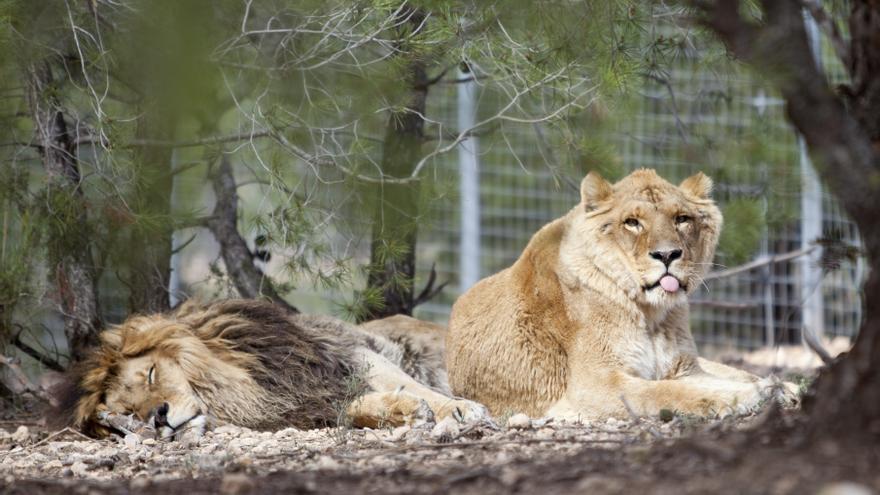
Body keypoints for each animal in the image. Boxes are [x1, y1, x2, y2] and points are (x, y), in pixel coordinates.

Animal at [61, 298, 488, 438]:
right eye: (128, 412)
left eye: (151, 373)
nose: (159, 417)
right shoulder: (299, 406)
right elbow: (353, 409)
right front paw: (401, 411)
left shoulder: (351, 353)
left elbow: (413, 385)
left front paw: (459, 409)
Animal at [446, 169, 796, 420]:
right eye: (632, 223)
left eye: (681, 218)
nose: (667, 254)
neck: (651, 314)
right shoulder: (594, 385)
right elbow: (665, 393)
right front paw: (745, 398)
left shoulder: (684, 368)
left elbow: (694, 383)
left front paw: (772, 389)